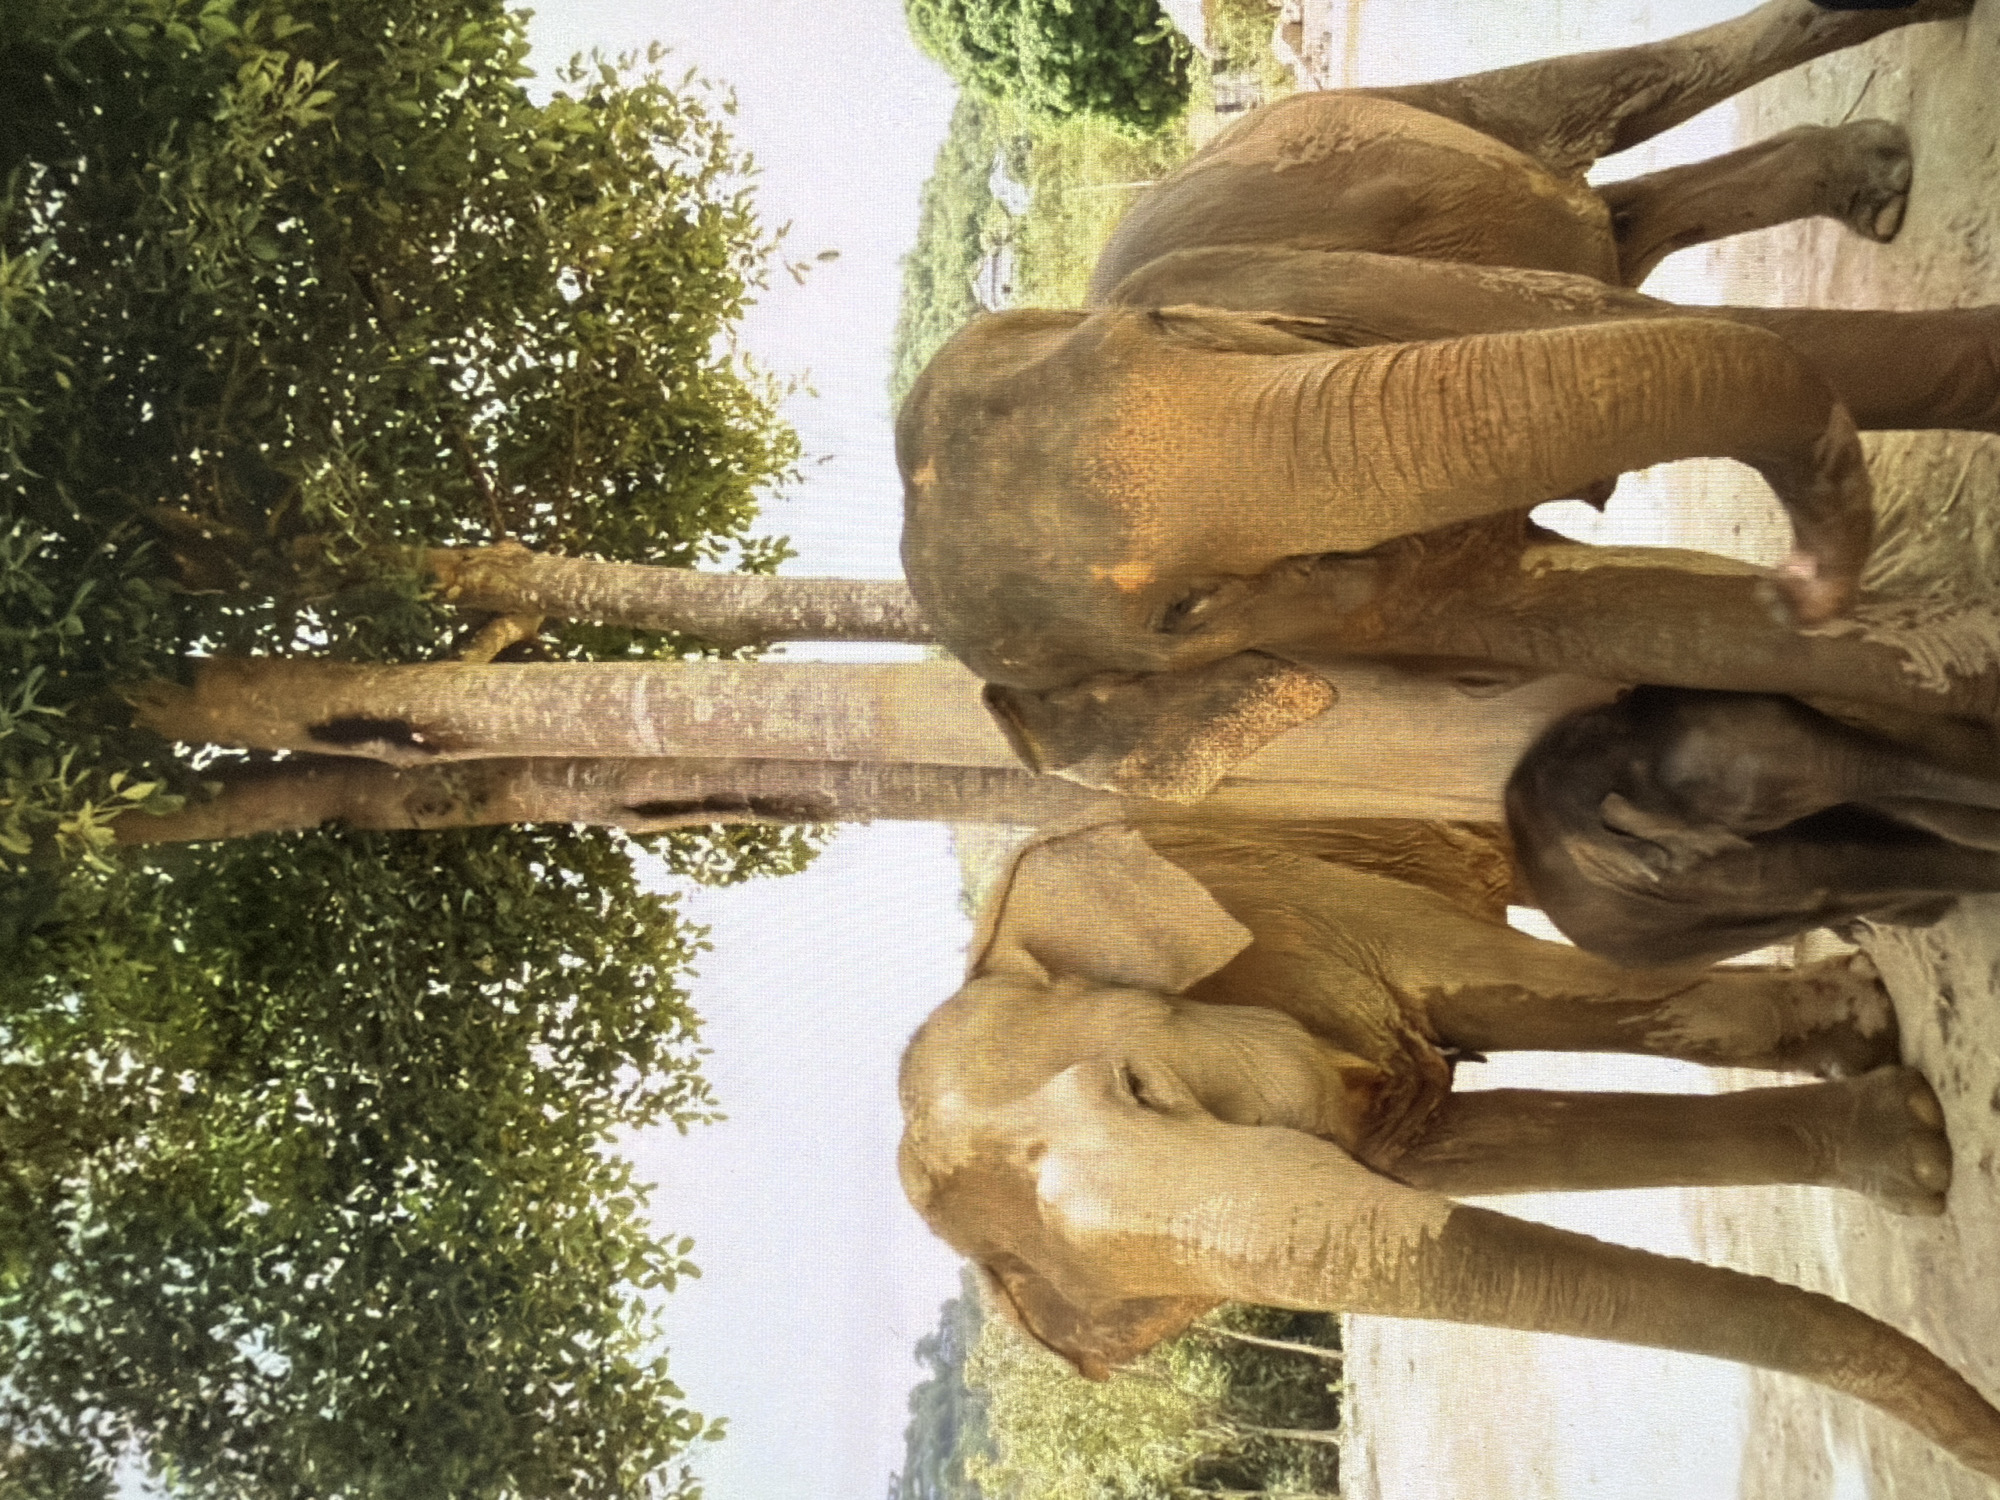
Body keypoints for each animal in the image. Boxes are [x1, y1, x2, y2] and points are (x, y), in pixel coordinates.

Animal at [897, 0, 2000, 808]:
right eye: (1184, 611)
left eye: (1171, 325)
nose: (1802, 580)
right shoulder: (1374, 629)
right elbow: (1632, 625)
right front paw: (1944, 677)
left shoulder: (1323, 284)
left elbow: (1687, 330)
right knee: (1620, 220)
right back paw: (1868, 182)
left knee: (1592, 106)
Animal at [897, 818, 2000, 1479]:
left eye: (1140, 1090)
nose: (1987, 1451)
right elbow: (1455, 1148)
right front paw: (1906, 1137)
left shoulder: (1278, 902)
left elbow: (1489, 975)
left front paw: (1880, 1045)